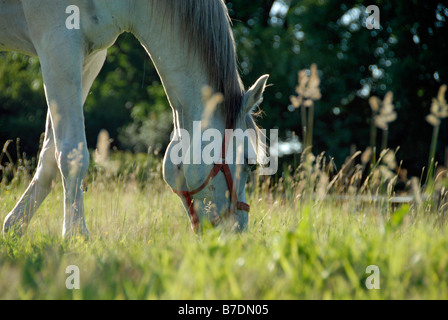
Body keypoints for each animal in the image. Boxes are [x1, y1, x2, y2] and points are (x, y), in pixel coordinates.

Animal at [0, 0, 270, 238]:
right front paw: (75, 235)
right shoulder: (58, 44)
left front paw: (15, 226)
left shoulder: (87, 58)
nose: (238, 233)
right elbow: (70, 153)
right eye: (250, 163)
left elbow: (51, 153)